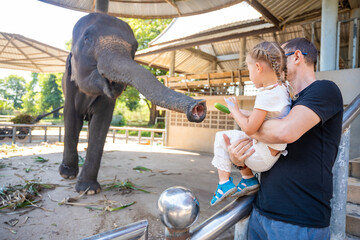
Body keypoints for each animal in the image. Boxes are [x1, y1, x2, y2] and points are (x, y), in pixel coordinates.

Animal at [60, 12, 207, 194]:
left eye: (134, 49)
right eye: (87, 38)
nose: (199, 106)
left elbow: (100, 124)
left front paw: (89, 189)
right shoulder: (69, 85)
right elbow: (72, 120)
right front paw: (68, 175)